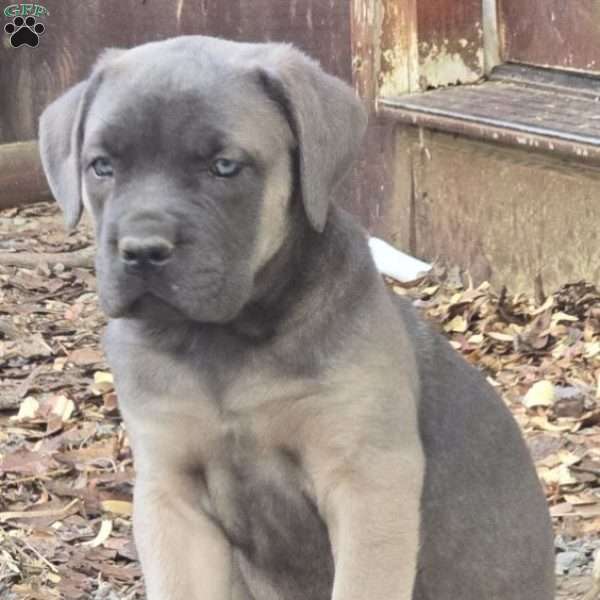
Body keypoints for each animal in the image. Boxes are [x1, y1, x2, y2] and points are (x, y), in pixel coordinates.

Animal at [37, 37, 552, 600]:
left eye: (224, 166)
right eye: (102, 166)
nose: (142, 250)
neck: (225, 341)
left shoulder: (368, 480)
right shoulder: (172, 493)